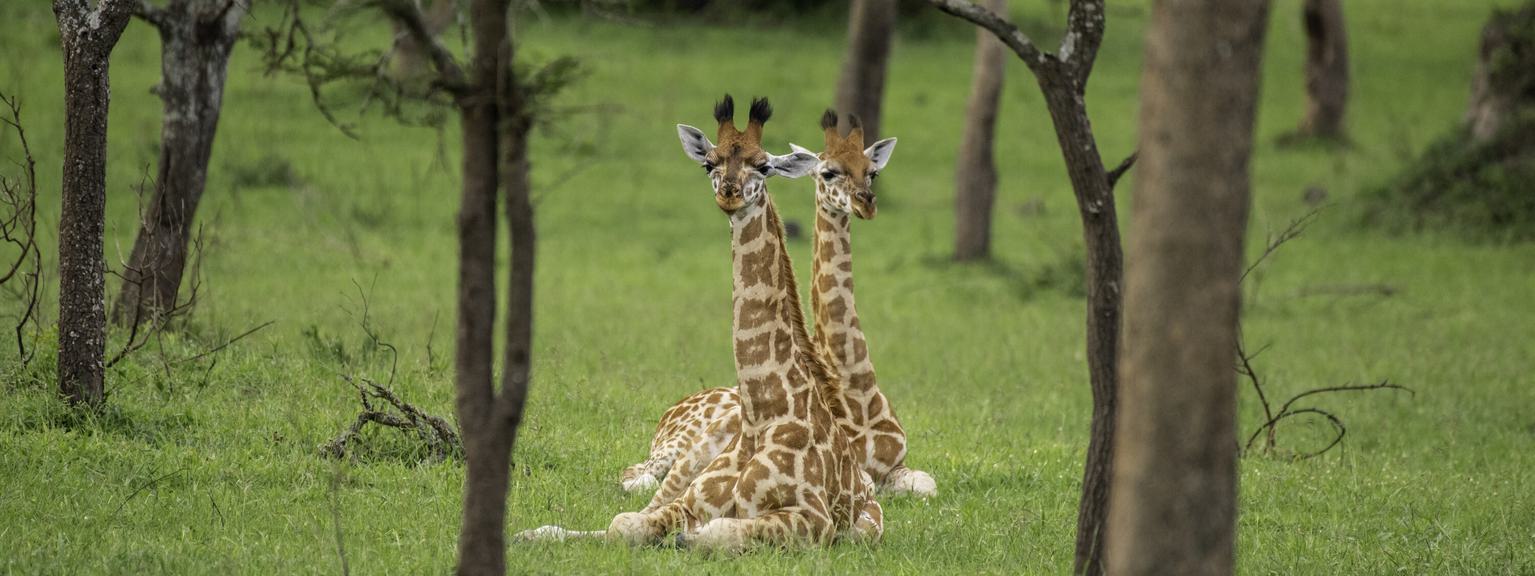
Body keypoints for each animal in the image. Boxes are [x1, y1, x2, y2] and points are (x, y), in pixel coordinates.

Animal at [522, 96, 881, 552]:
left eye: (764, 166)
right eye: (710, 163)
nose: (729, 193)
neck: (762, 416)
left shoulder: (813, 520)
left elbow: (716, 533)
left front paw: (682, 540)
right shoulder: (690, 501)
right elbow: (624, 524)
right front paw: (531, 533)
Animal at [790, 109, 937, 498]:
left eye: (872, 172)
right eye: (828, 172)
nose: (865, 202)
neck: (856, 387)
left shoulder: (897, 464)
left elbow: (928, 485)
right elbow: (865, 485)